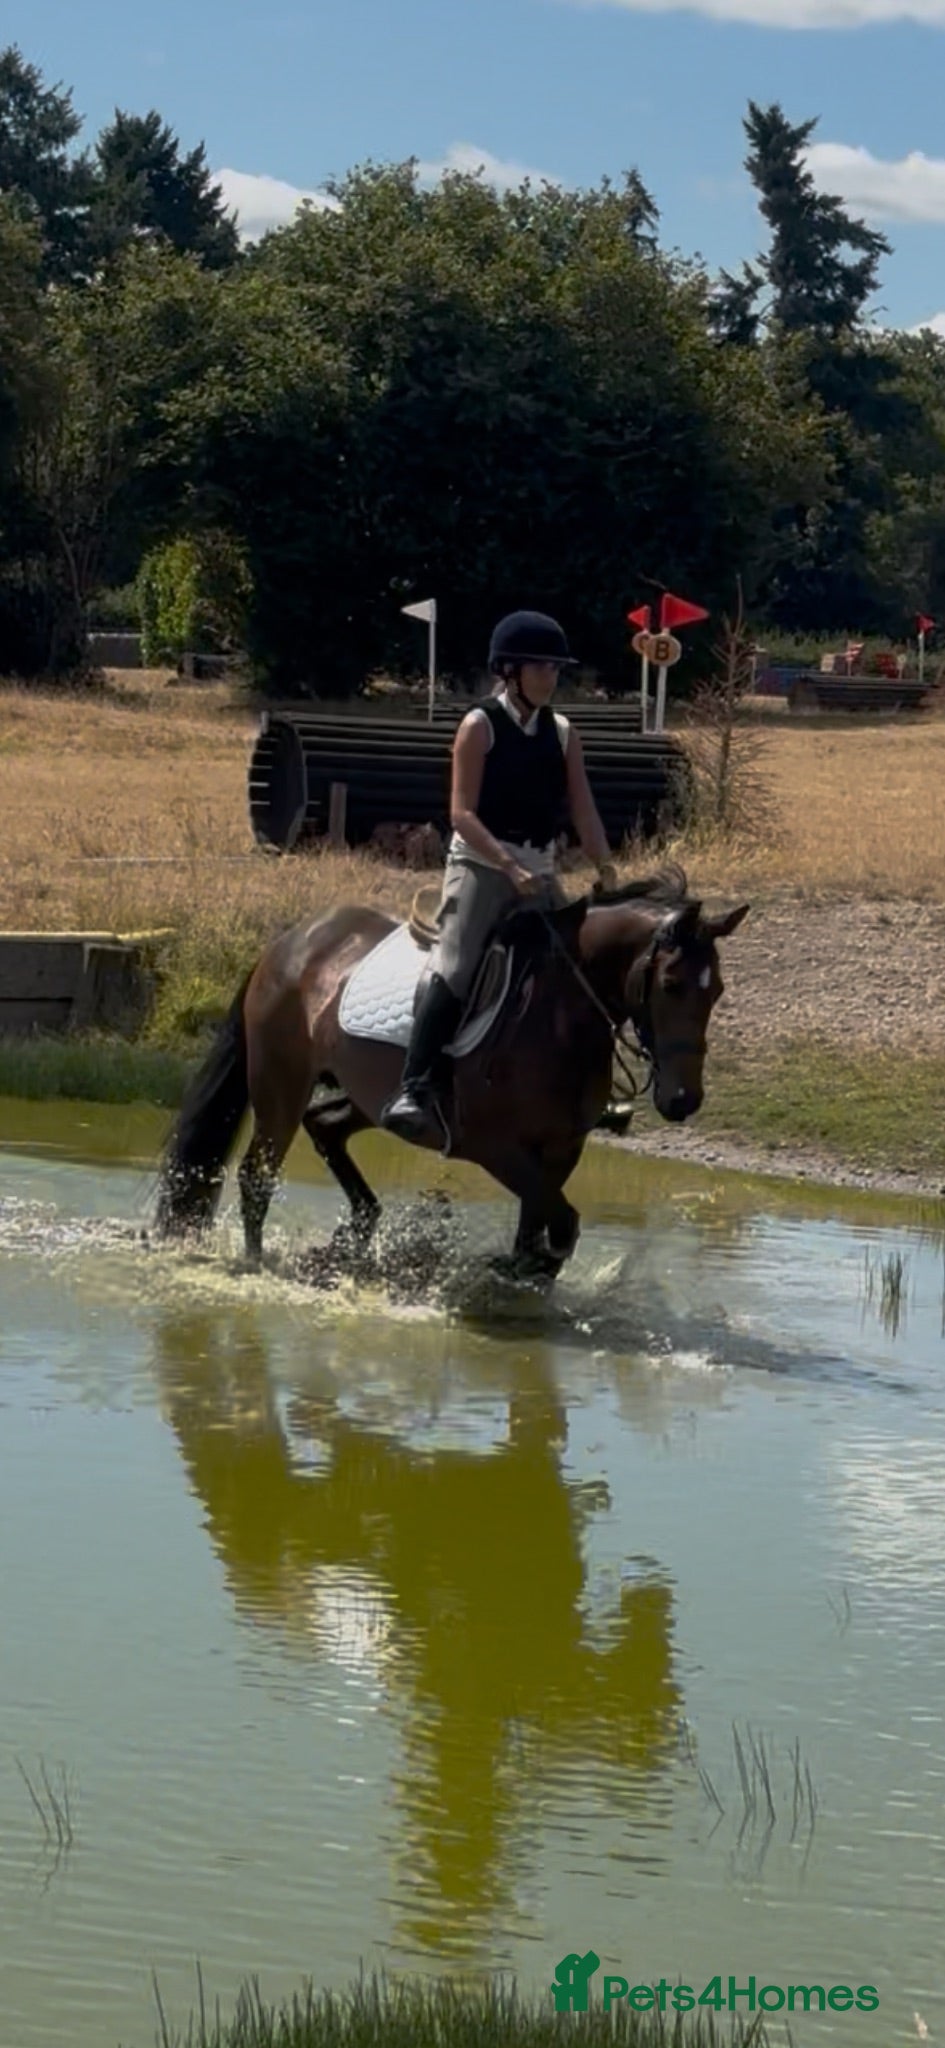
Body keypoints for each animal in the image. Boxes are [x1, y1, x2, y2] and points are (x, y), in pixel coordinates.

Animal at [153, 864, 749, 1282]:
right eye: (671, 984)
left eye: (717, 990)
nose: (683, 1100)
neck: (558, 1015)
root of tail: (293, 941)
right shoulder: (493, 1146)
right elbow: (560, 1223)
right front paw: (512, 1276)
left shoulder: (561, 1149)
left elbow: (542, 1224)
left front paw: (519, 1280)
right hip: (281, 1081)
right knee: (258, 1174)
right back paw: (258, 1267)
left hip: (370, 1097)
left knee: (325, 1127)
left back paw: (354, 1236)